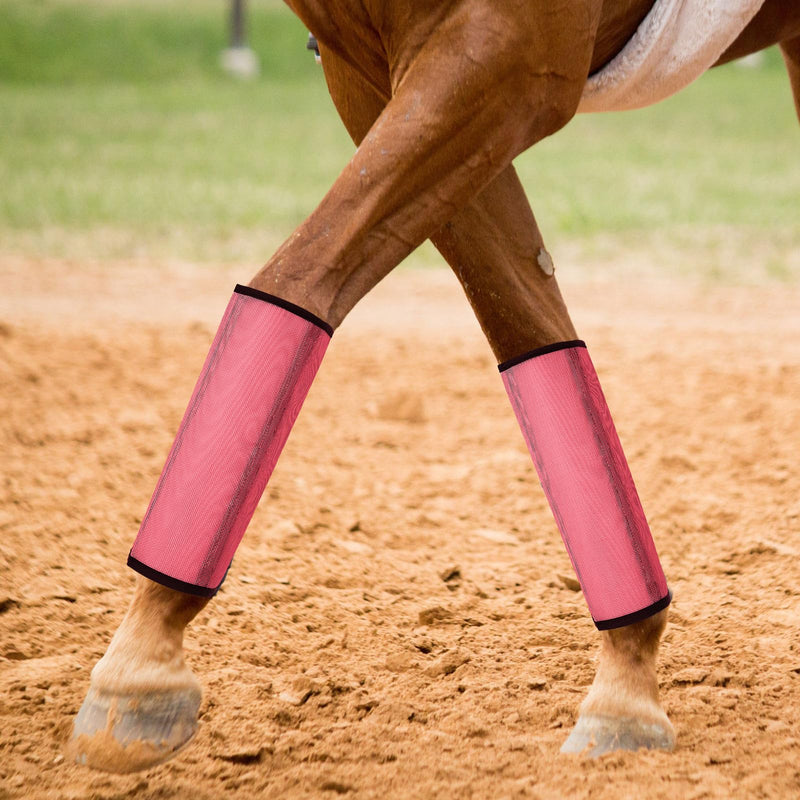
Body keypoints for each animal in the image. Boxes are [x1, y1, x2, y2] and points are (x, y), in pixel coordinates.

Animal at [70, 0, 800, 772]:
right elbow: (528, 327)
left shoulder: (504, 58)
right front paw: (626, 685)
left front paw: (142, 666)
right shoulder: (372, 75)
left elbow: (300, 278)